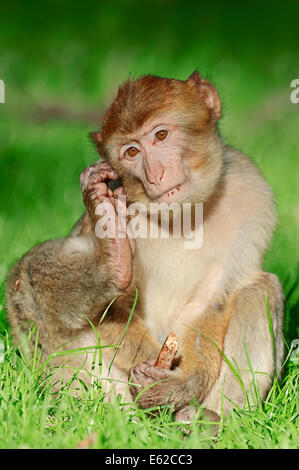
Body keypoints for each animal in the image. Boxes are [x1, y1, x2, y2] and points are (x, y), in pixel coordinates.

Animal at [5, 70, 286, 422]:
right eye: (132, 152)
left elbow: (214, 300)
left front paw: (182, 383)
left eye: (161, 135)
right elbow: (111, 308)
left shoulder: (253, 195)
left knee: (259, 289)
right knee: (27, 278)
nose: (156, 174)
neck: (183, 215)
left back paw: (207, 420)